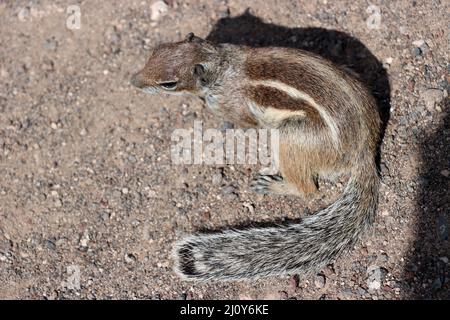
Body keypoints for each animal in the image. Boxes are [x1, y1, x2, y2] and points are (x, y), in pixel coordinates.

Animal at [131, 33, 384, 280]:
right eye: (156, 51)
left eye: (169, 83)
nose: (134, 81)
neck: (222, 65)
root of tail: (364, 152)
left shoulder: (234, 108)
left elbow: (244, 122)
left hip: (291, 137)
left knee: (308, 189)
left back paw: (274, 185)